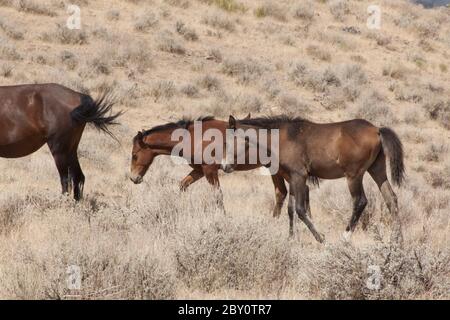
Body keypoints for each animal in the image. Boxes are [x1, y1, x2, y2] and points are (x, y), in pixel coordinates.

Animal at [129, 115, 288, 215]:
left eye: (134, 155)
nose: (133, 178)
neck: (194, 137)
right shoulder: (199, 170)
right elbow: (182, 185)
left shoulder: (210, 170)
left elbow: (218, 195)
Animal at [221, 115, 404, 242]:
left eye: (229, 142)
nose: (224, 166)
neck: (282, 138)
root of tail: (377, 130)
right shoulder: (292, 178)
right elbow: (291, 209)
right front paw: (292, 238)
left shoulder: (299, 176)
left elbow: (300, 210)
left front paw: (321, 237)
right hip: (377, 170)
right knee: (391, 199)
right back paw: (397, 241)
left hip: (354, 176)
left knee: (360, 201)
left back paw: (345, 238)